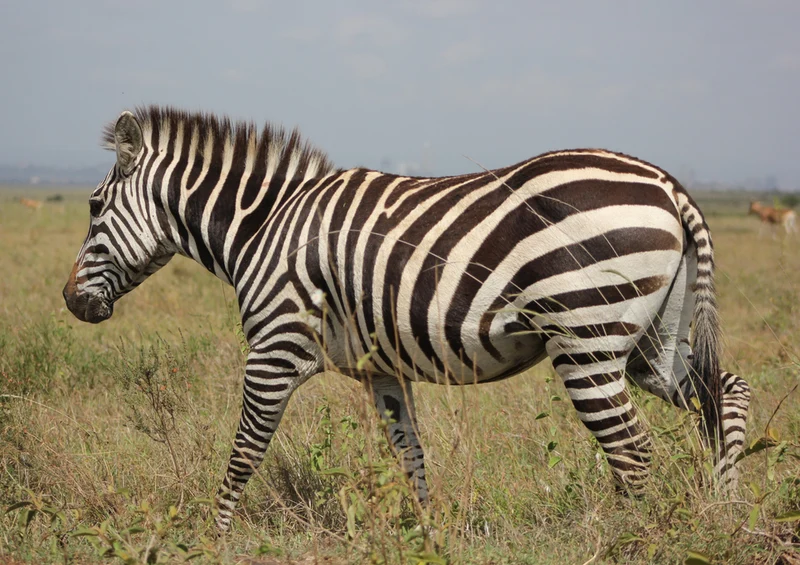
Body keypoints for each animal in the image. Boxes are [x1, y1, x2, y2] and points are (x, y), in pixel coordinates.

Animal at [63, 106, 751, 532]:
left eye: (94, 207)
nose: (71, 302)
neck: (265, 225)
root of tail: (668, 186)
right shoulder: (382, 370)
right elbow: (410, 454)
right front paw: (427, 533)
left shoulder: (275, 346)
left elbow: (244, 451)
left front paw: (214, 534)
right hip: (651, 340)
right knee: (727, 393)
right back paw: (726, 509)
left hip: (587, 339)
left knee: (632, 450)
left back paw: (625, 535)